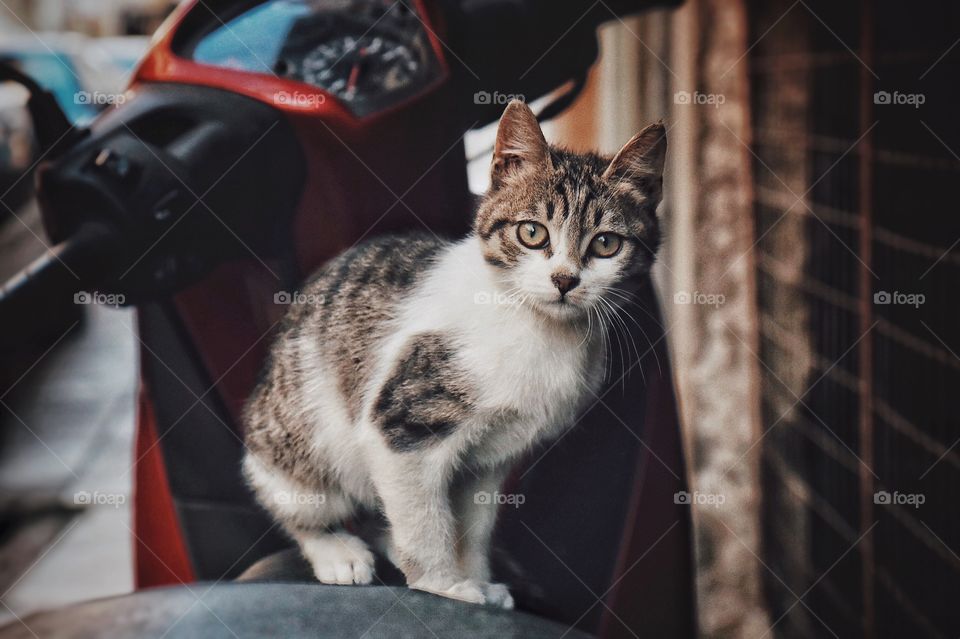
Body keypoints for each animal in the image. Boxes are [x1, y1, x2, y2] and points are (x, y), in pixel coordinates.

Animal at [240, 100, 668, 608]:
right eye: (531, 233)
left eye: (606, 243)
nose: (564, 280)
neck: (540, 331)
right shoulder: (402, 426)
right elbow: (425, 517)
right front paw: (442, 584)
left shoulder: (490, 458)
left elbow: (472, 525)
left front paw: (478, 579)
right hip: (303, 437)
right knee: (295, 502)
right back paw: (336, 551)